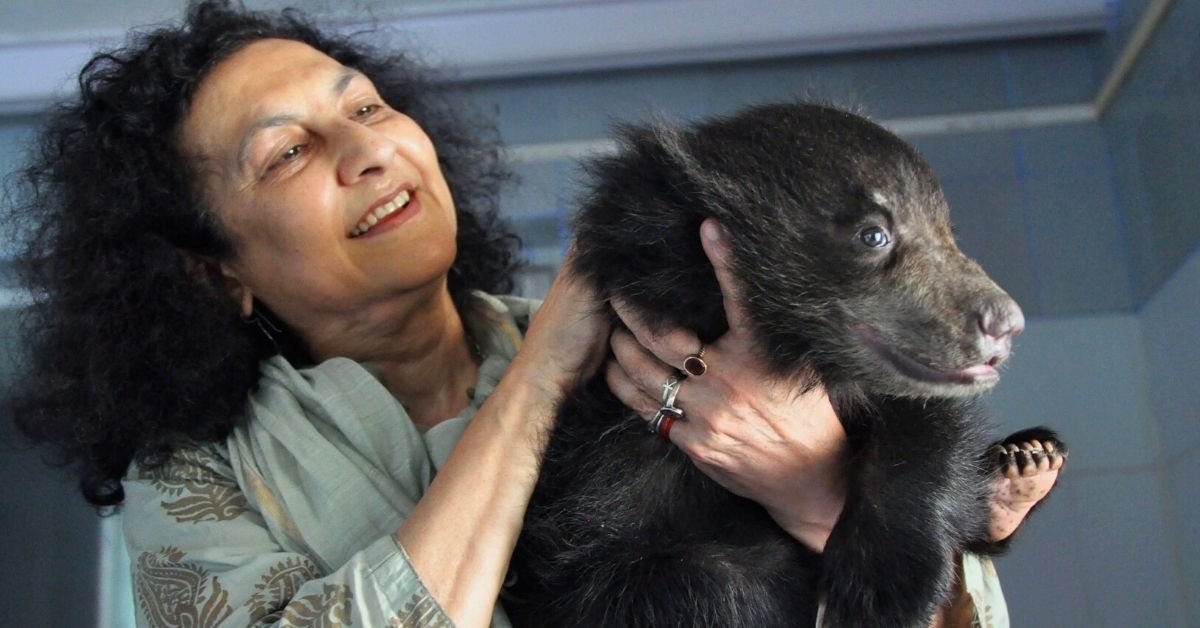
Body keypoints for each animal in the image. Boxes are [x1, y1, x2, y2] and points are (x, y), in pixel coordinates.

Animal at [502, 101, 1065, 628]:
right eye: (873, 234)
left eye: (947, 234)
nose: (1004, 322)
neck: (798, 357)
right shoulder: (603, 487)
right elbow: (650, 577)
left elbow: (925, 430)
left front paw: (879, 587)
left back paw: (1023, 467)